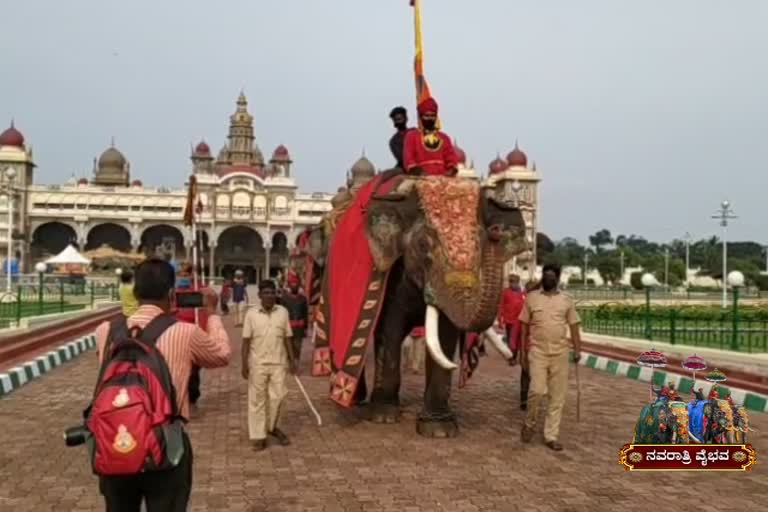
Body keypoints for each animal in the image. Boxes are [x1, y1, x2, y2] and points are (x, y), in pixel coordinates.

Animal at [296, 170, 524, 438]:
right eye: (424, 247)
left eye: (481, 247)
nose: (496, 232)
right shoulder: (390, 272)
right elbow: (389, 328)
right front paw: (383, 416)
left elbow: (443, 337)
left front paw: (439, 429)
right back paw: (354, 398)